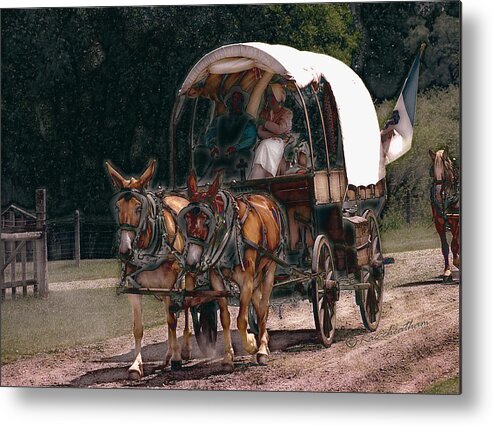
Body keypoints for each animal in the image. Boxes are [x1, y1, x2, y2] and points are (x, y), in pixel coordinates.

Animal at [105, 161, 190, 380]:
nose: (125, 250)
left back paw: (184, 350)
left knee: (187, 310)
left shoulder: (171, 286)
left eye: (139, 207)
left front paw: (177, 358)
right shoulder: (135, 289)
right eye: (117, 207)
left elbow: (171, 321)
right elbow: (138, 328)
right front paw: (136, 365)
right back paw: (169, 355)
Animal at [180, 170, 280, 366]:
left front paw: (252, 345)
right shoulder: (217, 281)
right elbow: (225, 318)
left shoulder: (246, 279)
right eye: (187, 218)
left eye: (207, 220)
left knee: (263, 306)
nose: (191, 262)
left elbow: (241, 319)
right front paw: (228, 356)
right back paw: (262, 339)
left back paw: (262, 348)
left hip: (269, 268)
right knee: (259, 305)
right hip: (257, 275)